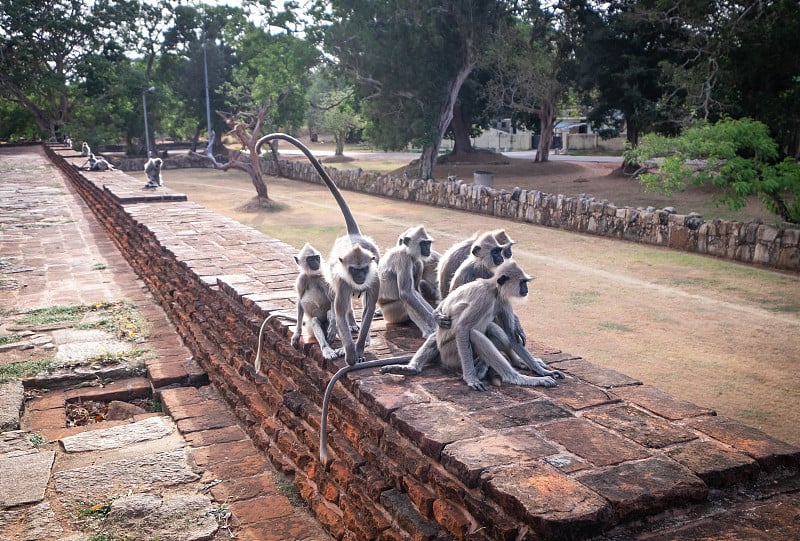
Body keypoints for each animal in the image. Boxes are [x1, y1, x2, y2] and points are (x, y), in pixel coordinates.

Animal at [256, 132, 382, 364]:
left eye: (363, 270)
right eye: (354, 270)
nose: (360, 277)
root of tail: (354, 236)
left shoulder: (374, 276)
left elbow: (369, 308)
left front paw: (359, 349)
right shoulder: (342, 280)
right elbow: (339, 311)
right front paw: (350, 353)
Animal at [382, 260, 564, 390]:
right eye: (522, 282)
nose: (526, 289)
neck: (493, 290)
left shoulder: (502, 301)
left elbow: (512, 337)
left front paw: (543, 371)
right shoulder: (483, 298)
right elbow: (463, 329)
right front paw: (470, 379)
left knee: (492, 329)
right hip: (451, 354)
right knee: (475, 334)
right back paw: (515, 378)